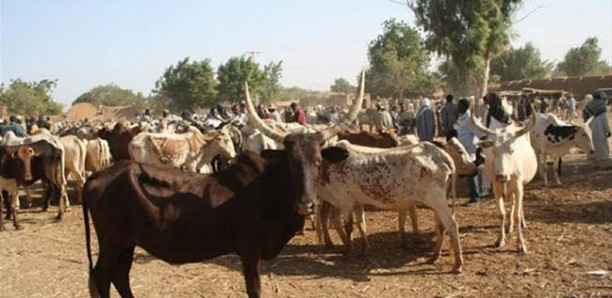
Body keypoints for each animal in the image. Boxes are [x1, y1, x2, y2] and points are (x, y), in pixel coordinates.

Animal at [314, 141, 462, 274]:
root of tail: (440, 155)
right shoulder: (356, 203)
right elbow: (361, 224)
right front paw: (364, 249)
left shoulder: (346, 202)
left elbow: (349, 226)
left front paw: (348, 252)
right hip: (438, 202)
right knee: (441, 227)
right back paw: (434, 257)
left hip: (437, 200)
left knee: (452, 225)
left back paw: (458, 264)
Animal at [468, 106, 536, 253]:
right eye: (493, 151)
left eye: (512, 150)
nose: (501, 176)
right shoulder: (497, 189)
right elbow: (502, 214)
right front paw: (500, 239)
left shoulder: (518, 188)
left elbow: (516, 214)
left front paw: (521, 244)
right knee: (512, 204)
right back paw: (509, 226)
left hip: (521, 185)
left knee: (518, 206)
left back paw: (522, 222)